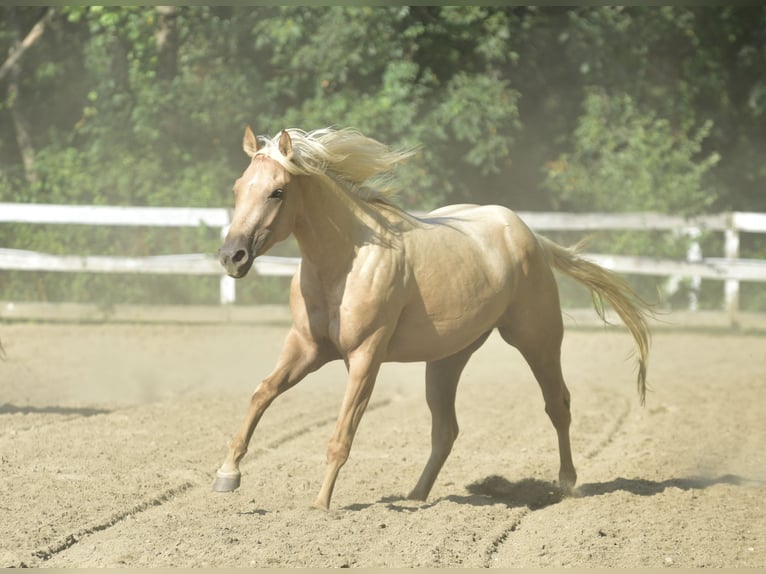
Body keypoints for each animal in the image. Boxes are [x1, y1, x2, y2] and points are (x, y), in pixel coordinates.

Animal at [213, 126, 652, 510]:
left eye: (277, 191)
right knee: (446, 430)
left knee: (557, 404)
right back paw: (415, 497)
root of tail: (529, 236)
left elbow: (342, 433)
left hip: (537, 340)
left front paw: (320, 506)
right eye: (238, 187)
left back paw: (566, 484)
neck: (345, 261)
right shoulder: (306, 346)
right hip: (447, 359)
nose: (232, 256)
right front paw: (227, 475)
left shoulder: (366, 355)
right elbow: (262, 393)